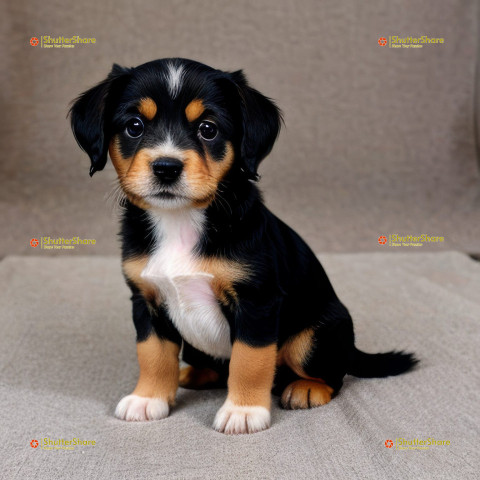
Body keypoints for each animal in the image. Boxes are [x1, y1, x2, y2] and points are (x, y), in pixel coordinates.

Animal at [69, 58, 418, 434]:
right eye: (134, 126)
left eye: (208, 129)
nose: (166, 167)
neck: (180, 221)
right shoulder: (145, 299)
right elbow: (152, 355)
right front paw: (148, 399)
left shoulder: (256, 302)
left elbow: (249, 361)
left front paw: (244, 410)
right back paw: (194, 373)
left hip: (312, 337)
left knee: (333, 375)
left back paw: (307, 388)